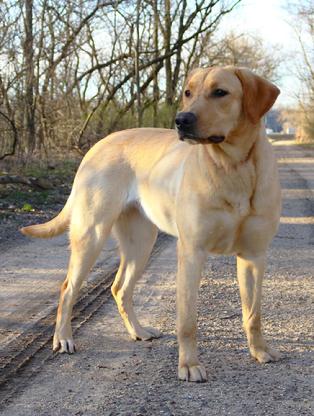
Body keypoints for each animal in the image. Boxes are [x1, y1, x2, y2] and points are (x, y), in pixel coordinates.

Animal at [22, 66, 282, 382]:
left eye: (220, 92)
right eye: (188, 92)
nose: (181, 120)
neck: (234, 167)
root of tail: (97, 146)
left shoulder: (254, 256)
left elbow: (253, 314)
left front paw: (260, 351)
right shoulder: (192, 253)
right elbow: (187, 321)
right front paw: (189, 365)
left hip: (141, 243)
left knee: (120, 288)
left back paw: (138, 331)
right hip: (91, 235)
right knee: (68, 288)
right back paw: (63, 338)